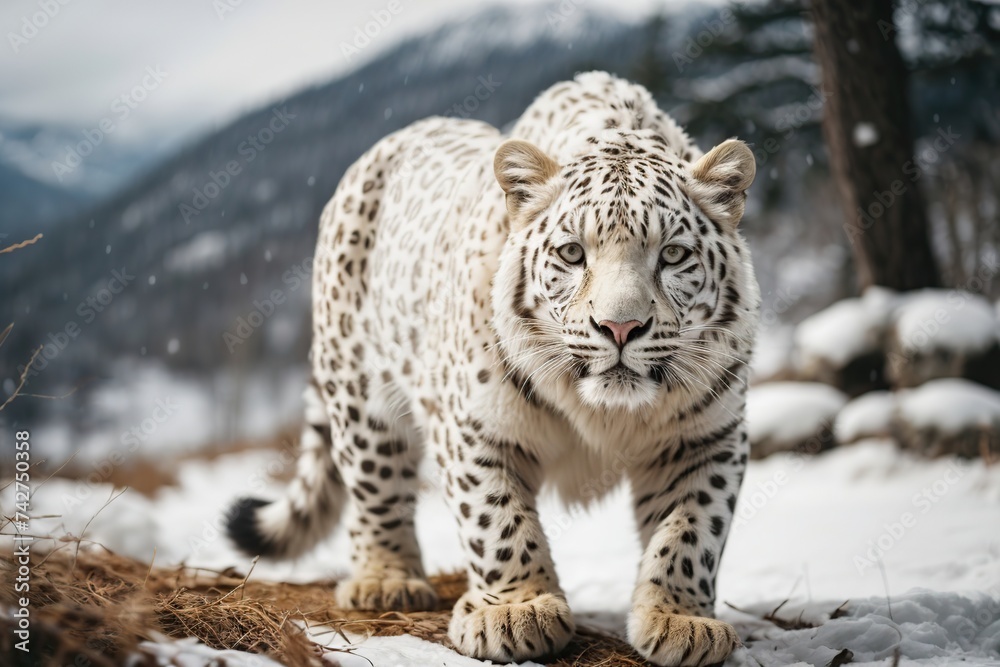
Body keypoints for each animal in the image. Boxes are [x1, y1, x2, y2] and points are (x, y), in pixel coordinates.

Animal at [225, 71, 759, 667]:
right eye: (572, 253)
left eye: (672, 255)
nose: (619, 327)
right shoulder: (474, 426)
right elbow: (497, 521)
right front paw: (516, 611)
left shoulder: (707, 437)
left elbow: (692, 531)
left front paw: (681, 620)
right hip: (359, 392)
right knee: (375, 488)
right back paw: (386, 581)